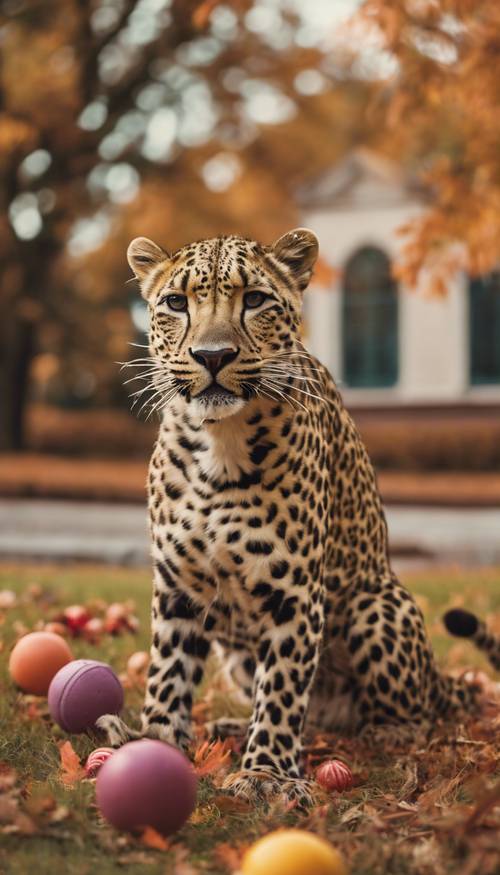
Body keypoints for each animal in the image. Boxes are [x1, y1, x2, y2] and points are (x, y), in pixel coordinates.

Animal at [97, 229, 500, 804]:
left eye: (255, 300)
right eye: (175, 303)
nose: (212, 355)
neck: (218, 442)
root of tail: (436, 677)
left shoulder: (294, 594)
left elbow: (283, 690)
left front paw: (265, 773)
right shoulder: (178, 588)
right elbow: (168, 674)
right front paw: (155, 742)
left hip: (379, 604)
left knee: (404, 714)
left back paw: (385, 733)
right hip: (238, 654)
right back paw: (231, 728)